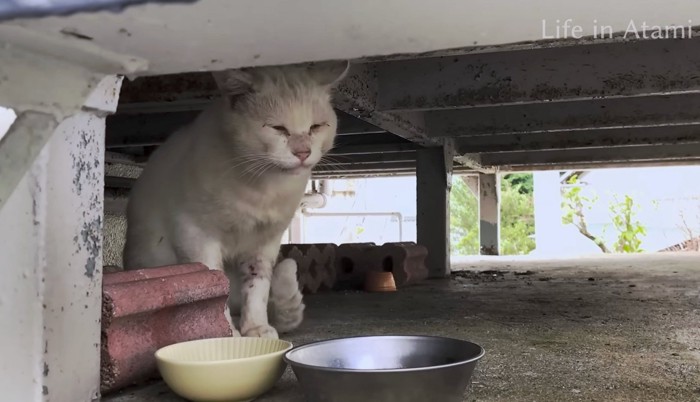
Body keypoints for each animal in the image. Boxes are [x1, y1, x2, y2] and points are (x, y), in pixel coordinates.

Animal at [123, 59, 350, 338]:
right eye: (278, 128)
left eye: (315, 127)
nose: (303, 152)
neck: (262, 188)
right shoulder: (196, 235)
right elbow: (213, 289)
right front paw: (228, 334)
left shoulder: (264, 243)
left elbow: (257, 288)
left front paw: (256, 328)